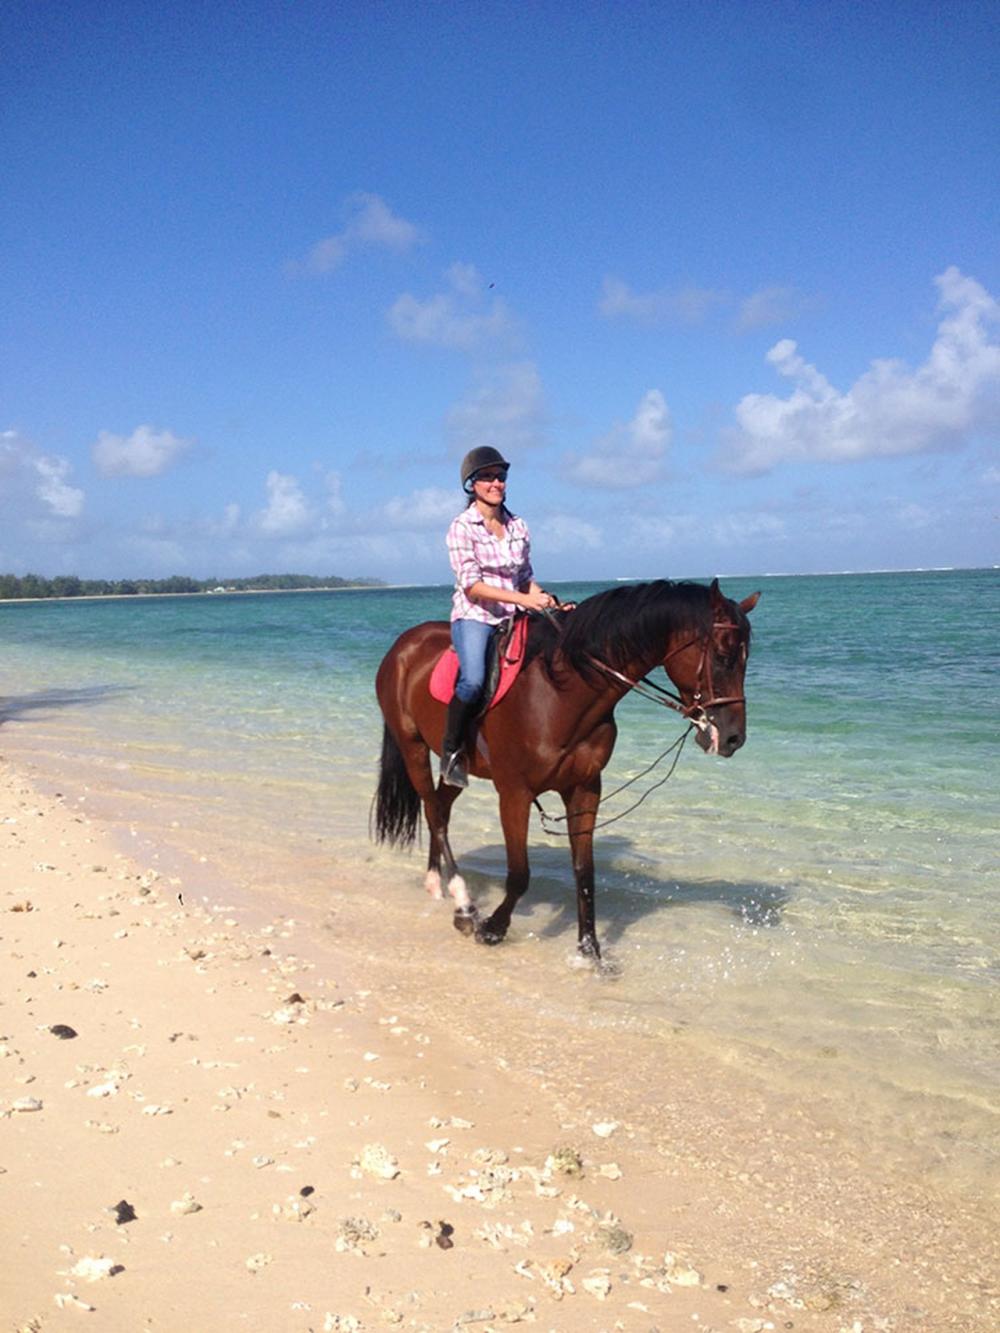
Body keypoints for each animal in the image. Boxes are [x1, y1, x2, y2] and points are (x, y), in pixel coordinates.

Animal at [372, 578, 759, 961]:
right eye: (723, 657)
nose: (734, 738)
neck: (560, 695)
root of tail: (403, 645)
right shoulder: (514, 793)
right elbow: (520, 873)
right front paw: (493, 928)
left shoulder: (585, 788)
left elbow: (584, 872)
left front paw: (590, 950)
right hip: (413, 749)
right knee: (435, 813)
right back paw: (464, 905)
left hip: (457, 770)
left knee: (439, 807)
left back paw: (437, 884)